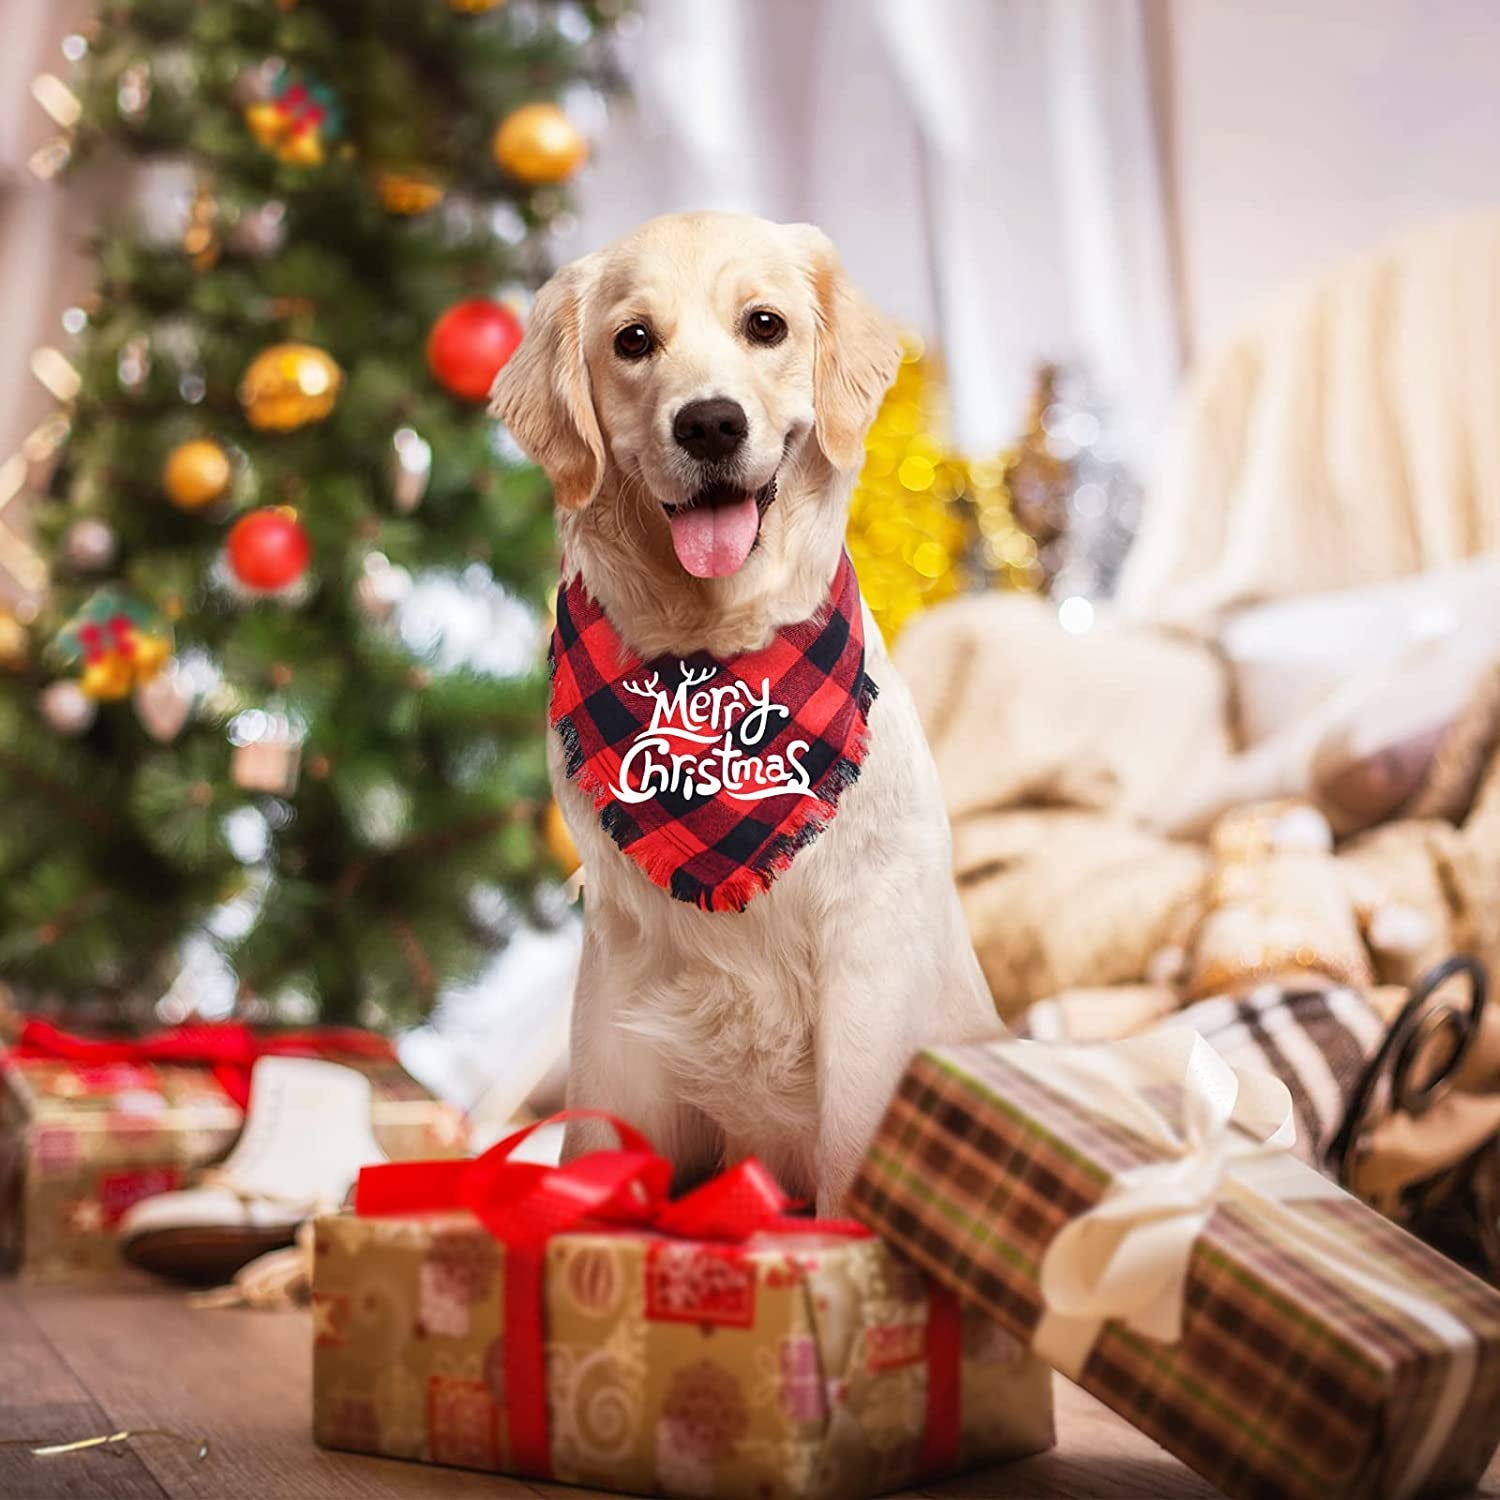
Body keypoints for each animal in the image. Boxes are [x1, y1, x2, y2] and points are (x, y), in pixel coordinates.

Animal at [492, 211, 1002, 1212]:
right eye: (633, 340)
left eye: (765, 324)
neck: (713, 664)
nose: (710, 421)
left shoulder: (867, 965)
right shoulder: (618, 988)